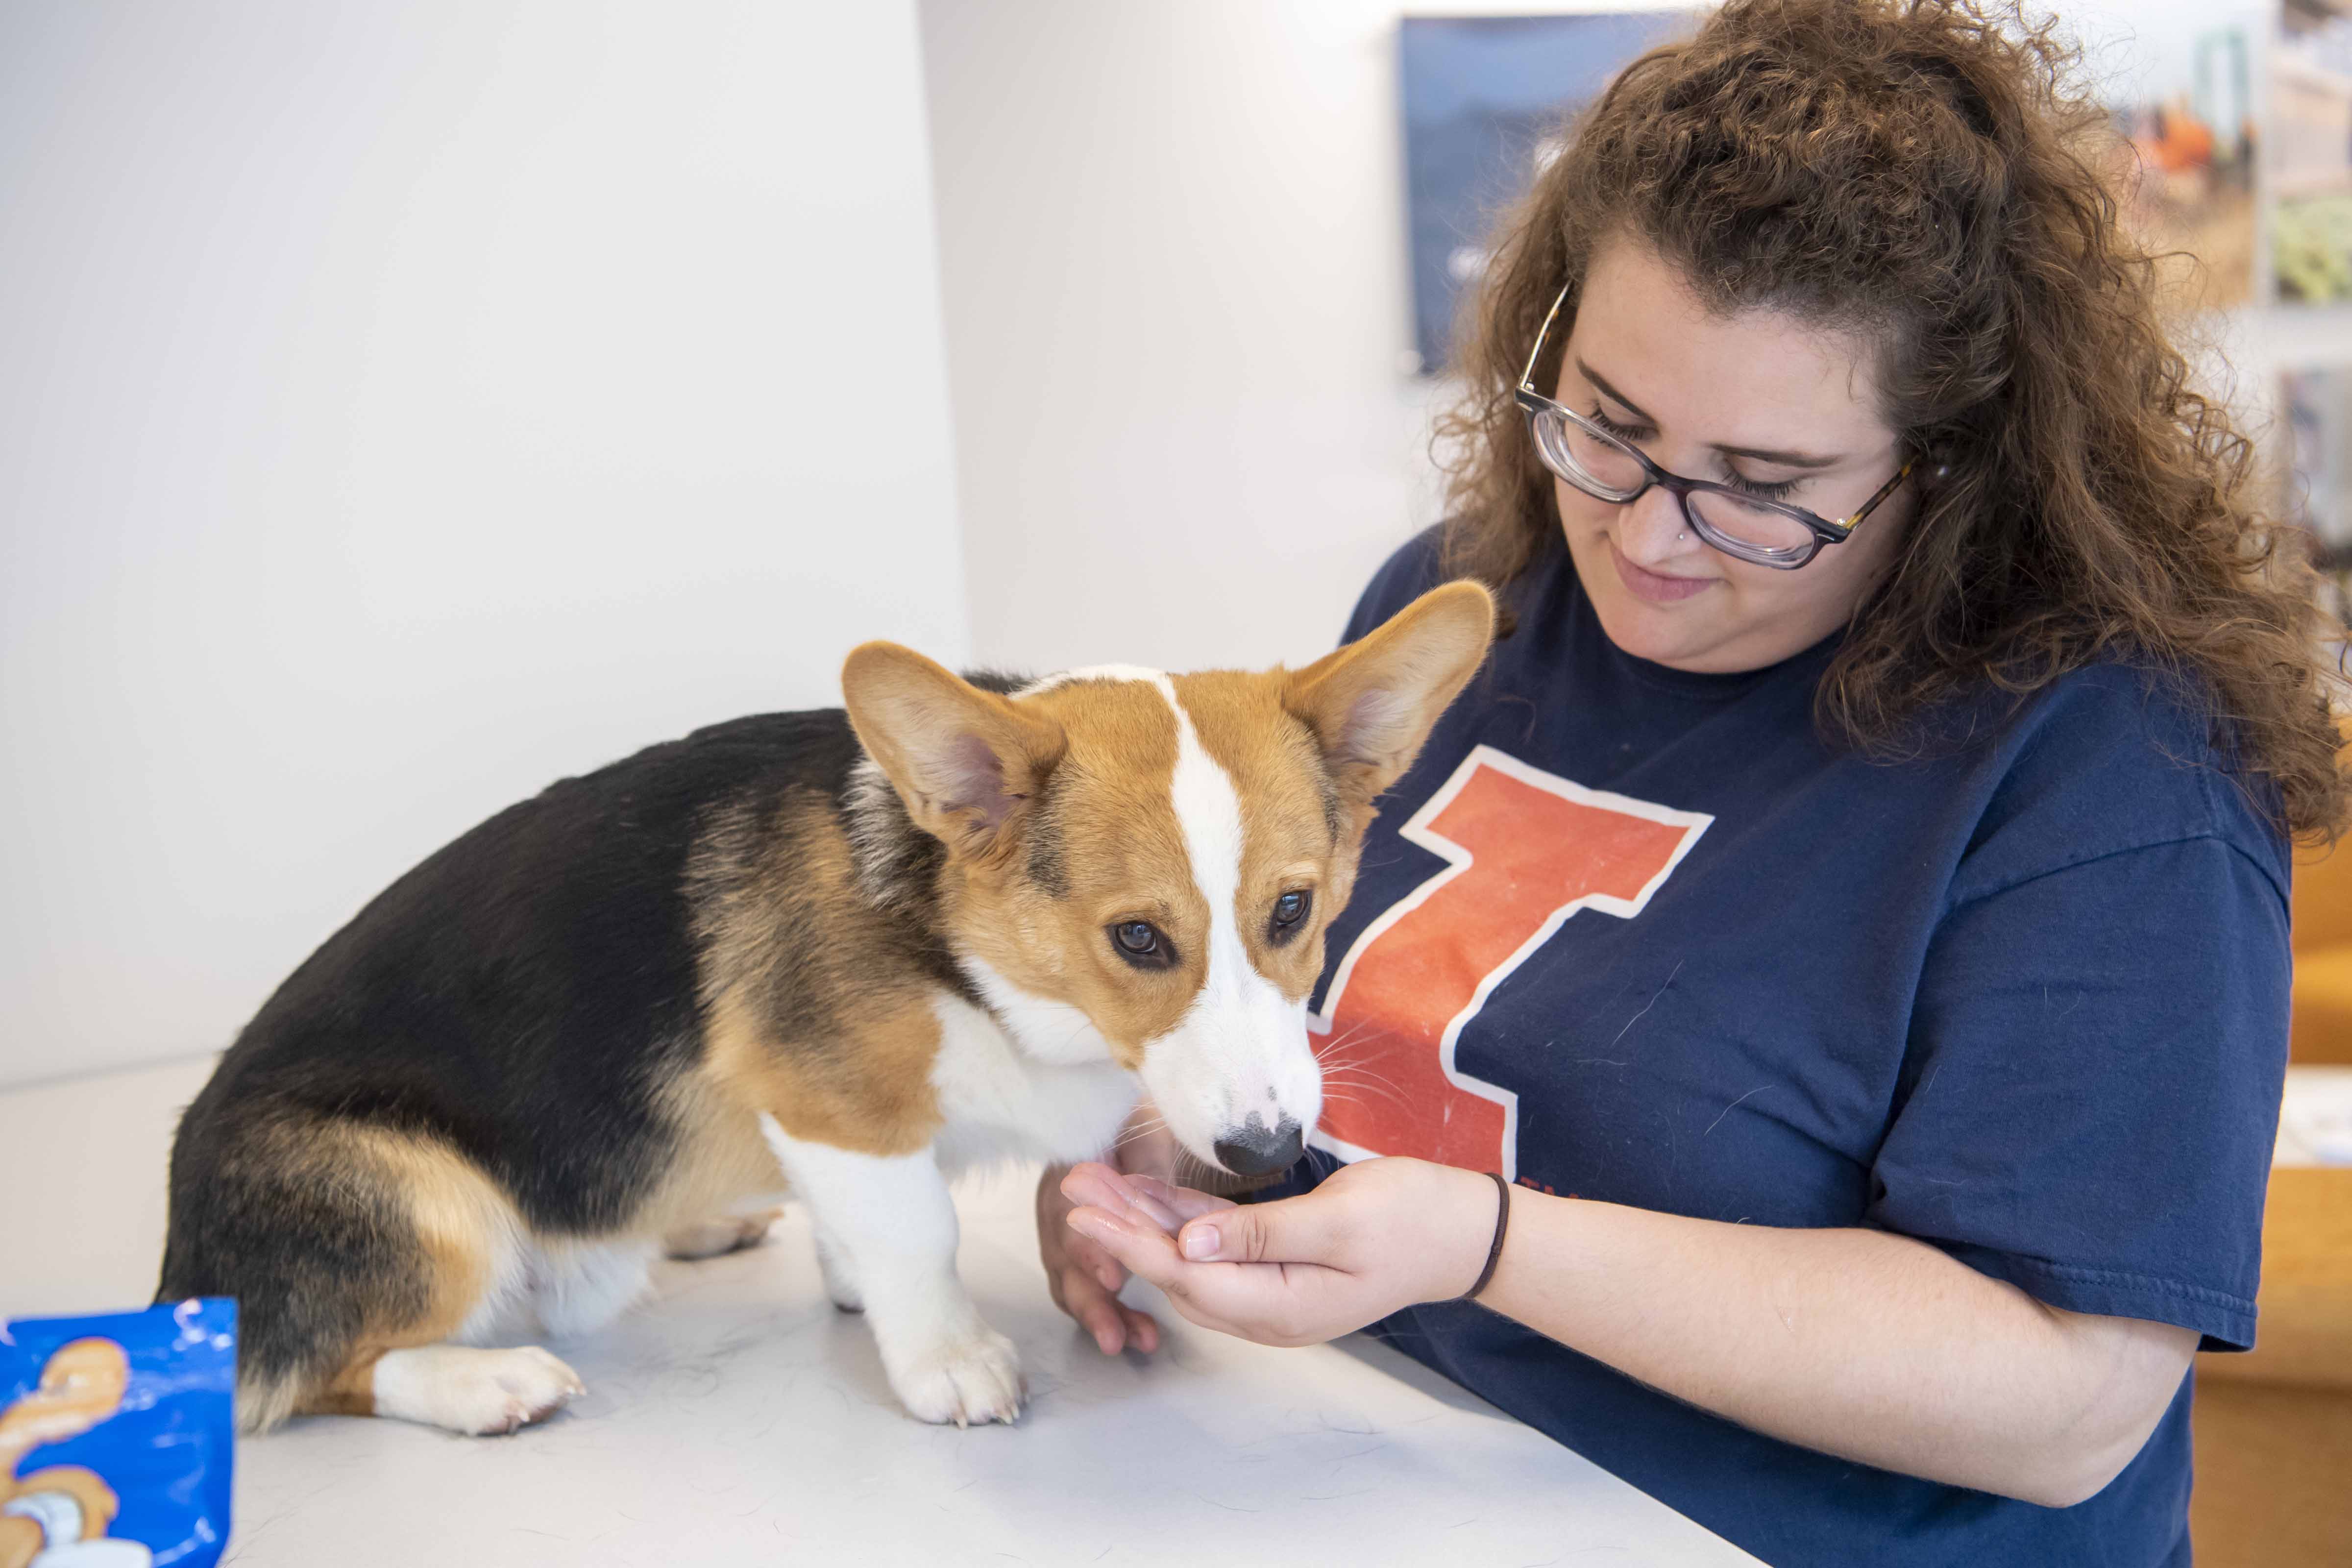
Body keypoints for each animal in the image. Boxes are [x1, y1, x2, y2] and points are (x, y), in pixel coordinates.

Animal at [156, 585, 1495, 1439]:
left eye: (1292, 910)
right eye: (1138, 939)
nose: (1266, 1156)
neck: (962, 945)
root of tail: (179, 1262)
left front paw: (848, 1277)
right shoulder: (833, 1106)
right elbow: (917, 1234)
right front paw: (947, 1357)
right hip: (422, 1198)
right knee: (314, 1373)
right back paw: (486, 1387)